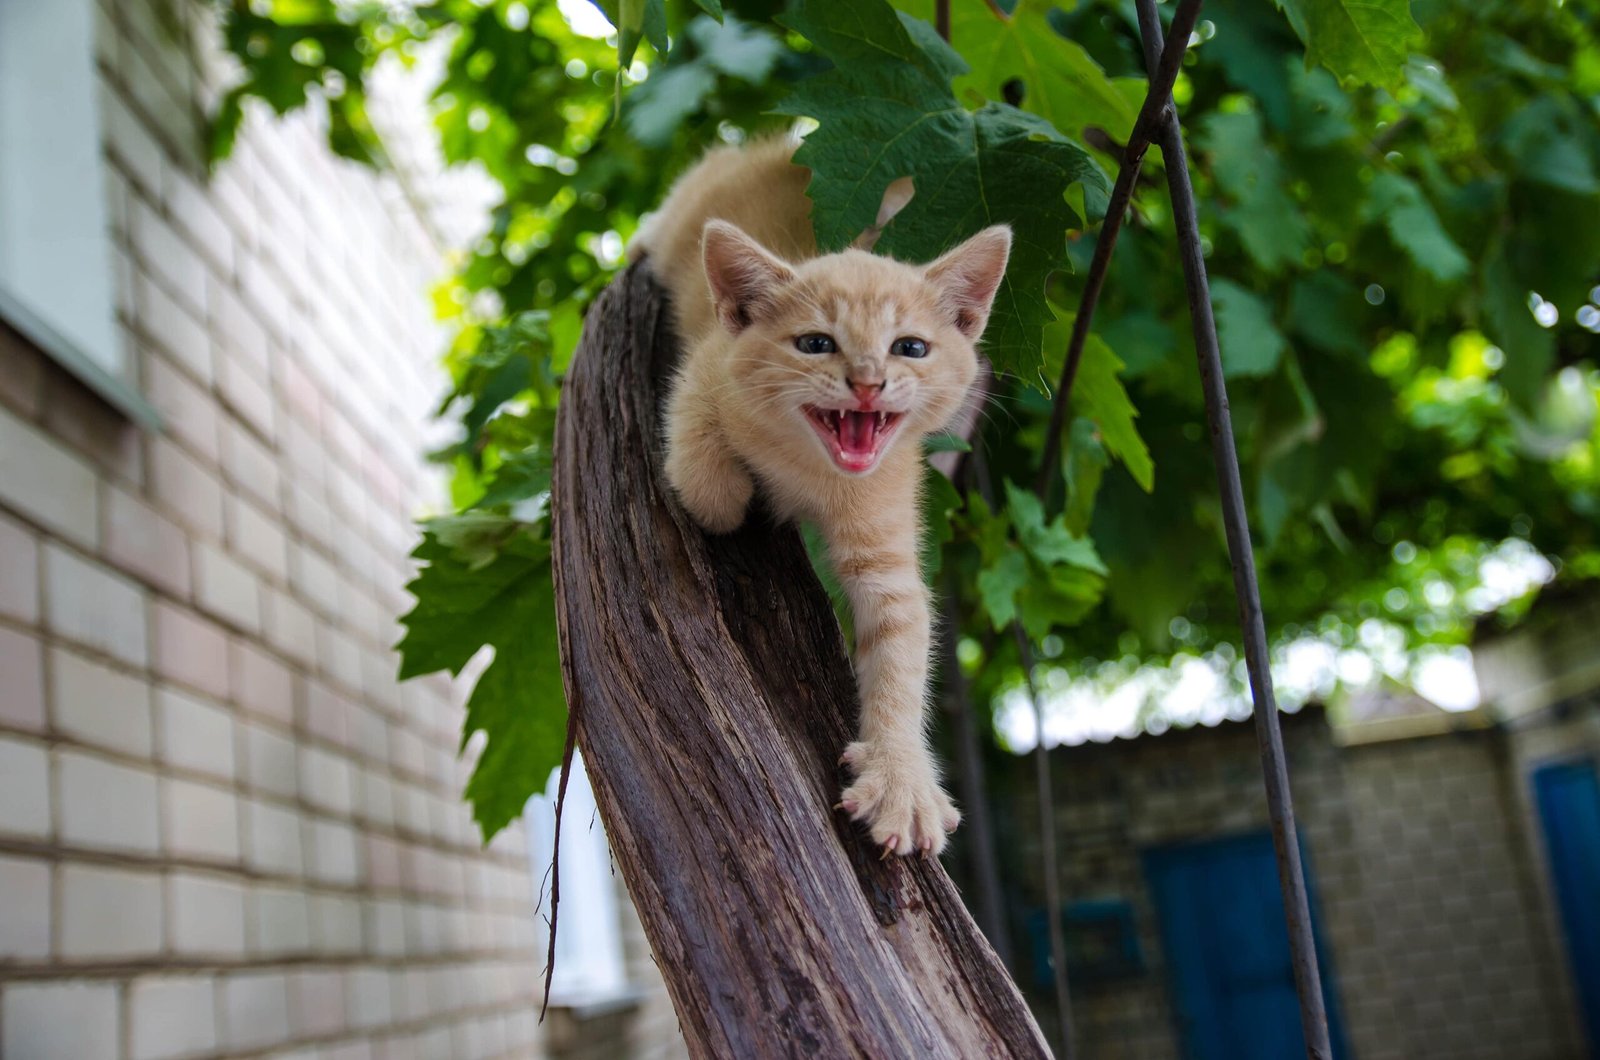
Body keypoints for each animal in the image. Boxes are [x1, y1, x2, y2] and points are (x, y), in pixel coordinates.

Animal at [630, 136, 1004, 858]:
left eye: (910, 347)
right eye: (815, 344)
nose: (867, 381)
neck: (812, 469)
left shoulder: (886, 534)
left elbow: (902, 643)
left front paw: (901, 777)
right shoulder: (705, 372)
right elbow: (706, 479)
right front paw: (739, 493)